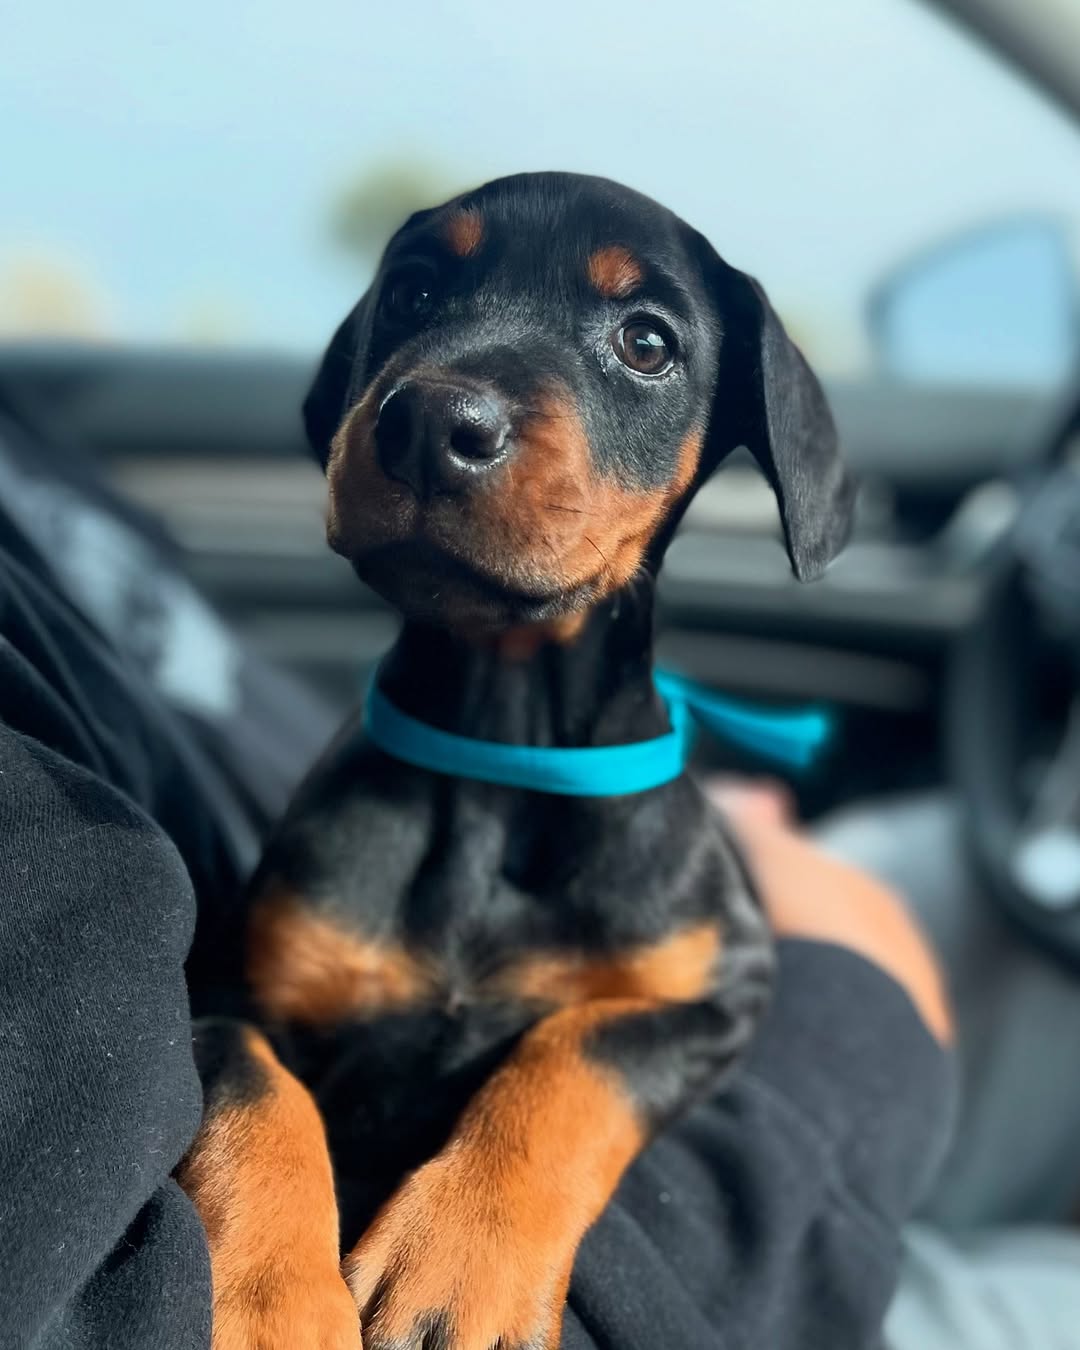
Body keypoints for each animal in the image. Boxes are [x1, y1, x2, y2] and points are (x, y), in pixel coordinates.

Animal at [177, 171, 855, 1350]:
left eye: (646, 341)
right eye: (412, 292)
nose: (430, 423)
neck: (503, 748)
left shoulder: (717, 988)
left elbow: (574, 1058)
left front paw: (463, 1261)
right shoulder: (236, 985)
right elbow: (257, 1094)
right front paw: (273, 1303)